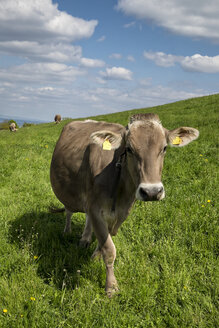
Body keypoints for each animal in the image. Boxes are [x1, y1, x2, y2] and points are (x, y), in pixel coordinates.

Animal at [50, 113, 199, 298]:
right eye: (128, 149)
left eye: (164, 148)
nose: (151, 192)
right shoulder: (95, 208)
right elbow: (109, 249)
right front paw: (111, 286)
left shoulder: (118, 212)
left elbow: (104, 240)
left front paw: (95, 256)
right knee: (69, 211)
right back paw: (67, 231)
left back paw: (85, 239)